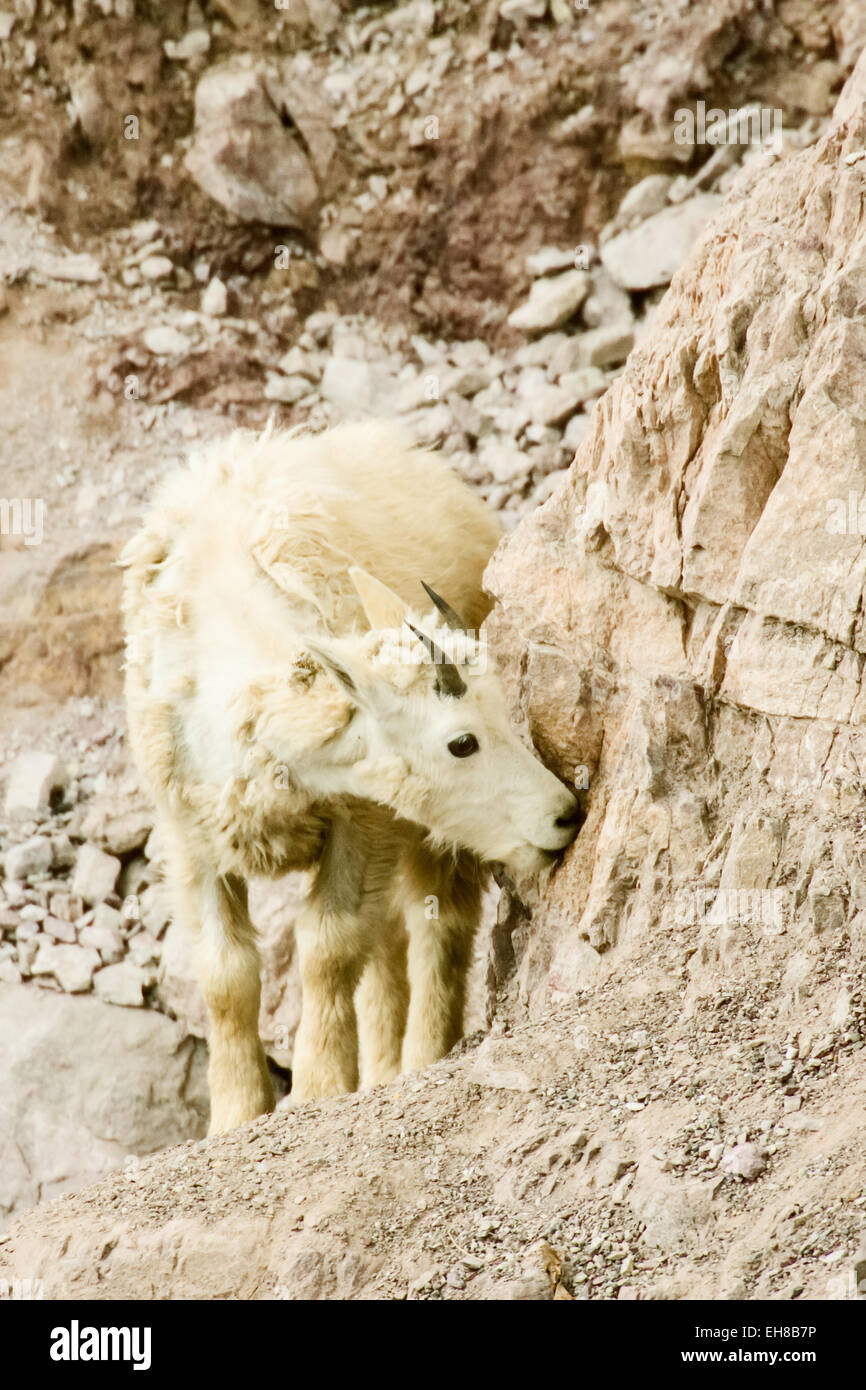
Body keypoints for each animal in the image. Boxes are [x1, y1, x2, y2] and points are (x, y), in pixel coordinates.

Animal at [120, 419, 583, 1128]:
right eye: (462, 742)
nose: (564, 814)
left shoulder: (362, 819)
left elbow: (329, 946)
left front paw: (318, 1086)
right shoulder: (190, 836)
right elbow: (226, 975)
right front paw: (236, 1114)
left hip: (428, 837)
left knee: (436, 922)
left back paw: (420, 1056)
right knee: (389, 935)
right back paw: (385, 1064)